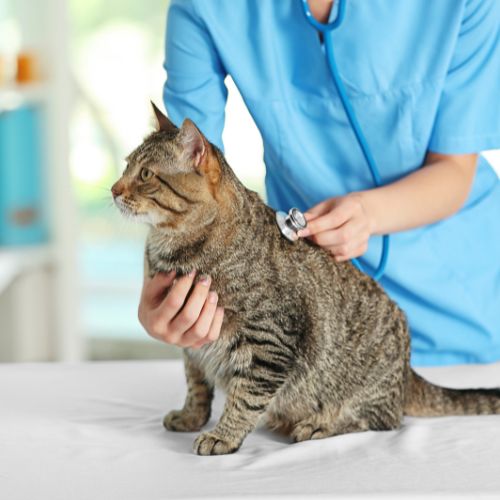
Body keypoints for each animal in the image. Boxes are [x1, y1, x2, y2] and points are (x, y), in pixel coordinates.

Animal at [112, 105, 500, 458]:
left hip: (365, 390)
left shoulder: (269, 341)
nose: (114, 189)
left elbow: (245, 398)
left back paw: (319, 424)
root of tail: (408, 372)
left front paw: (224, 435)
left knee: (382, 420)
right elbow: (196, 384)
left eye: (144, 173)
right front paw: (191, 416)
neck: (170, 248)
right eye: (126, 165)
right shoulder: (192, 342)